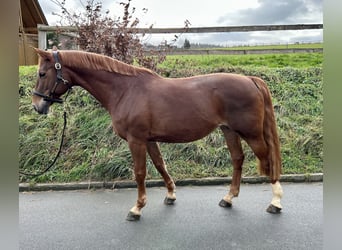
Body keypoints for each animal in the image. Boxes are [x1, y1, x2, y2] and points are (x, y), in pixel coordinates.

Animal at [31, 48, 284, 221]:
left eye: (42, 73)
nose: (37, 106)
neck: (125, 90)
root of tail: (251, 79)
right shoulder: (150, 140)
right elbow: (161, 165)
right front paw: (170, 195)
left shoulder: (136, 141)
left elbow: (140, 173)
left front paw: (137, 208)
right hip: (229, 131)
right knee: (237, 160)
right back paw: (228, 198)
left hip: (250, 133)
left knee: (267, 159)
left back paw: (276, 201)